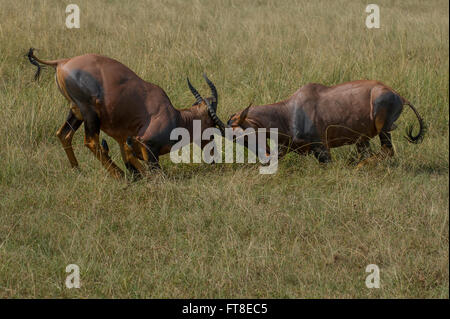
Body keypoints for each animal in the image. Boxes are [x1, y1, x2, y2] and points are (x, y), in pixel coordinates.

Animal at [25, 48, 225, 179]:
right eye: (212, 126)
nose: (214, 158)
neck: (175, 116)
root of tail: (62, 62)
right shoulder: (145, 144)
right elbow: (156, 174)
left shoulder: (125, 142)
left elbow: (132, 160)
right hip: (90, 113)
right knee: (91, 141)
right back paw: (119, 176)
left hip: (76, 112)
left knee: (64, 134)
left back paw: (78, 171)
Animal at [225, 80, 426, 166]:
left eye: (244, 134)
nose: (264, 155)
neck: (290, 110)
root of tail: (399, 95)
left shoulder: (321, 147)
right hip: (363, 138)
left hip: (383, 128)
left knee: (387, 150)